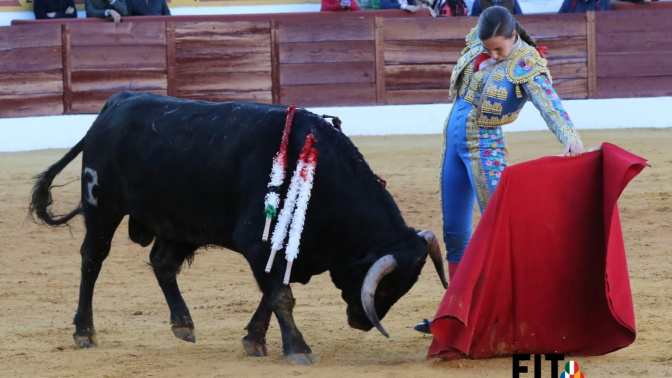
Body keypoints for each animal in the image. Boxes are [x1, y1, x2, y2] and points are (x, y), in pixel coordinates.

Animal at [28, 90, 446, 364]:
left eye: (402, 287)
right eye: (386, 286)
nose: (360, 323)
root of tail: (116, 102)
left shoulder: (287, 251)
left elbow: (272, 293)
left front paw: (254, 340)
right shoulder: (260, 243)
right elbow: (281, 295)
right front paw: (298, 349)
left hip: (178, 223)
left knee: (162, 263)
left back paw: (183, 324)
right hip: (102, 208)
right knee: (92, 261)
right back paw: (84, 331)